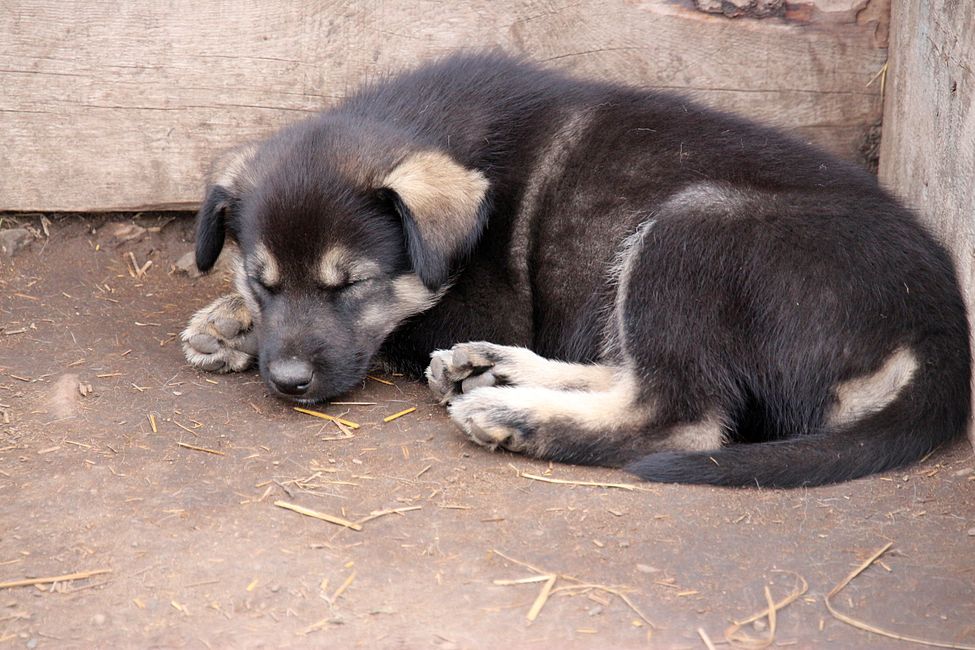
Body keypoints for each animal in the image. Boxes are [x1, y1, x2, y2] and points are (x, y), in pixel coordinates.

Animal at [181, 52, 968, 486]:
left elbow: (395, 330)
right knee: (635, 373)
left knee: (679, 414)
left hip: (693, 228)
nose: (288, 384)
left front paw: (233, 329)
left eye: (352, 285)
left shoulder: (475, 301)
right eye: (263, 280)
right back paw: (496, 370)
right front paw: (229, 322)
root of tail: (937, 335)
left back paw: (514, 415)